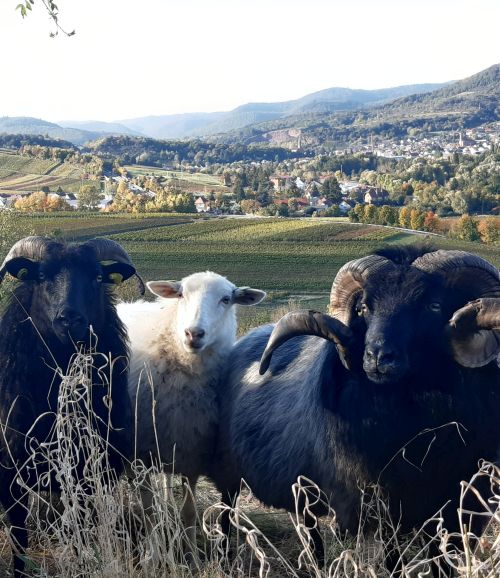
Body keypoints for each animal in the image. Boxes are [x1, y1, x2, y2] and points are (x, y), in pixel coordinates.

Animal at [117, 272, 266, 548]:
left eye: (226, 299)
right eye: (181, 294)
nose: (193, 333)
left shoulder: (191, 450)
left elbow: (189, 511)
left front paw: (190, 552)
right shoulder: (138, 454)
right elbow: (147, 510)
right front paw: (154, 550)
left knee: (166, 480)